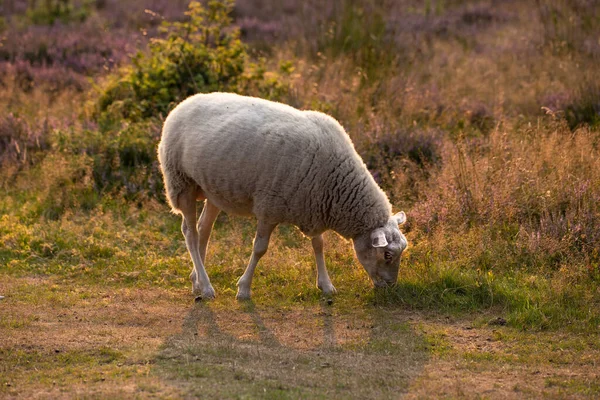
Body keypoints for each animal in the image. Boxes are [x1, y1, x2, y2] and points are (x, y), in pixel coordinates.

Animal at [157, 93, 408, 300]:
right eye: (387, 254)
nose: (390, 287)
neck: (336, 182)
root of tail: (183, 103)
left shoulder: (313, 205)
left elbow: (319, 245)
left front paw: (326, 285)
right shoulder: (269, 207)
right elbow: (260, 249)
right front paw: (244, 289)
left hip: (213, 189)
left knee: (204, 230)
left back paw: (197, 282)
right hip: (181, 182)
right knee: (190, 233)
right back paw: (207, 287)